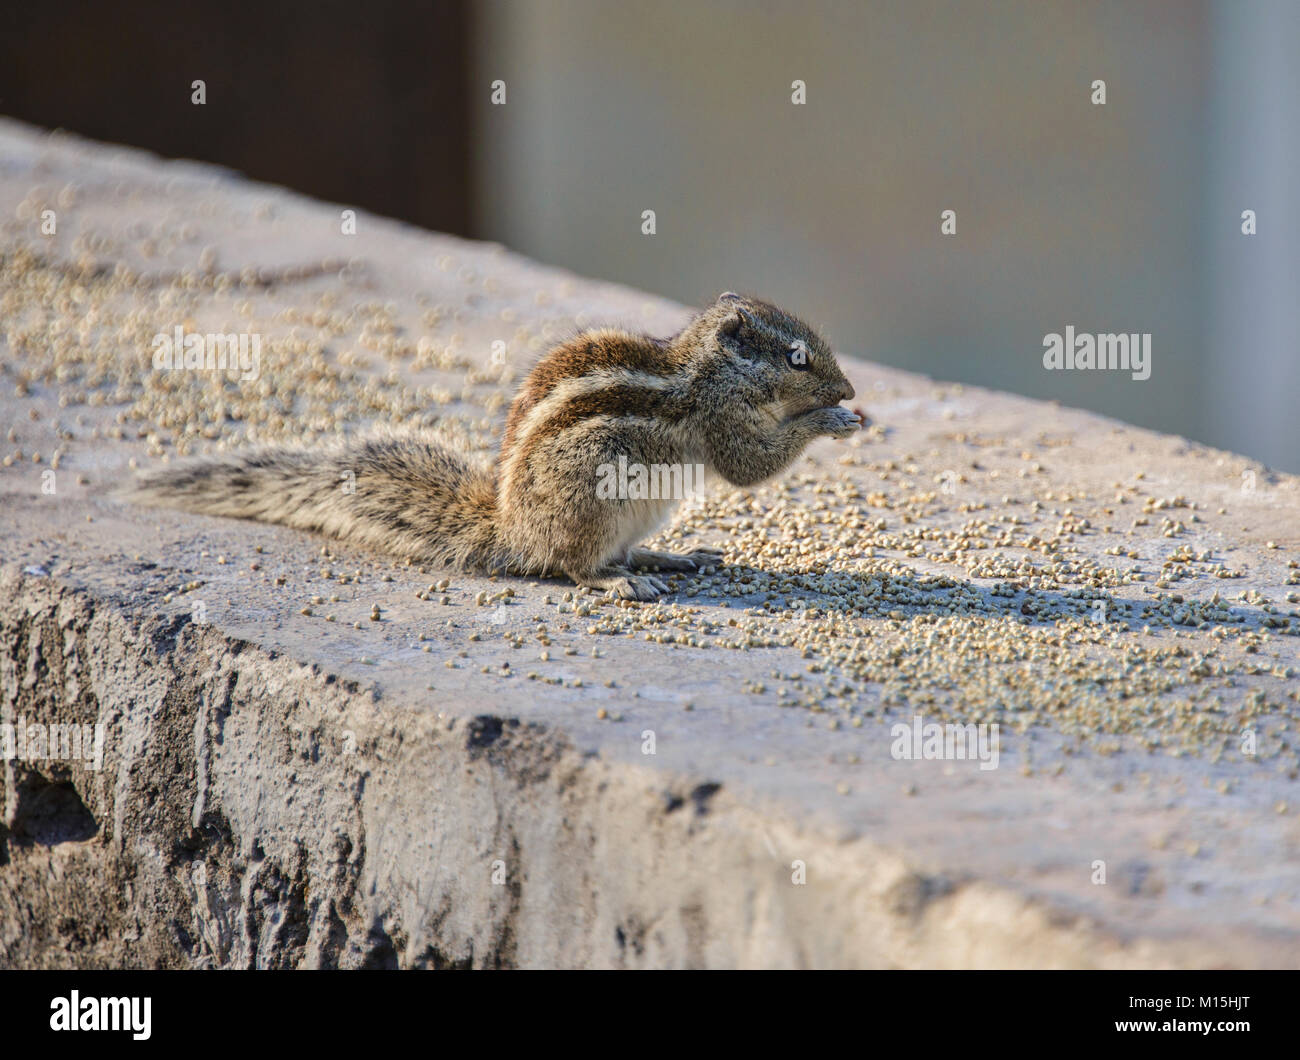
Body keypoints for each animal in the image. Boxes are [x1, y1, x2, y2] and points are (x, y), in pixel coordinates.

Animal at [126, 292, 859, 600]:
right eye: (796, 358)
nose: (849, 386)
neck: (706, 367)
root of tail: (512, 528)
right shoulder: (720, 420)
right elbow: (750, 467)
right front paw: (833, 420)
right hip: (591, 498)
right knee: (569, 564)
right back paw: (619, 581)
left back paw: (667, 556)